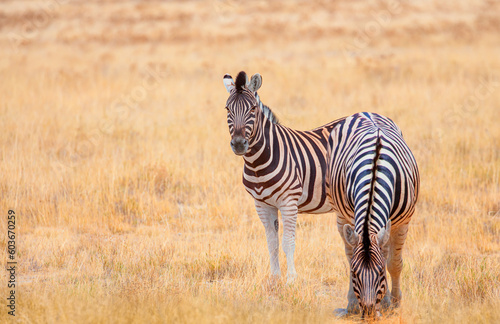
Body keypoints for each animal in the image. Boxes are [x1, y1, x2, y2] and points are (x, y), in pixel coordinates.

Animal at [224, 70, 346, 280]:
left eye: (253, 109)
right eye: (227, 109)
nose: (239, 144)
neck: (257, 164)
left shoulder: (289, 202)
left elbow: (288, 243)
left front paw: (291, 280)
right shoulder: (262, 204)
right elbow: (272, 243)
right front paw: (274, 279)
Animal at [326, 112, 420, 316]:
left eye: (380, 273)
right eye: (354, 274)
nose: (368, 312)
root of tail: (364, 112)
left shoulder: (402, 223)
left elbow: (394, 263)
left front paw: (394, 302)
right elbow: (352, 257)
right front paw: (374, 303)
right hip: (341, 216)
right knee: (349, 252)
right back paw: (353, 303)